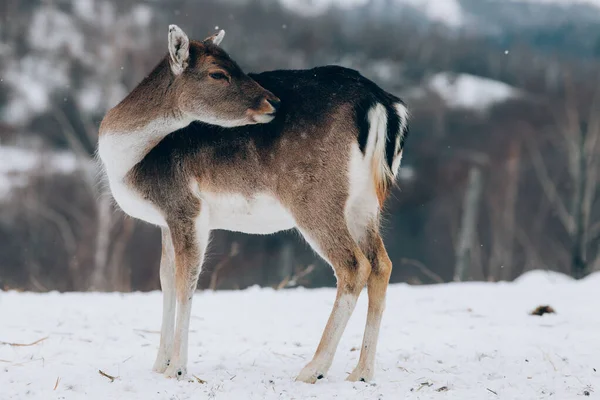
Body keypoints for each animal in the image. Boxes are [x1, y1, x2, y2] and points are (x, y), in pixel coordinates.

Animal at [97, 25, 408, 384]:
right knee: (382, 264)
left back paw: (313, 369)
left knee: (354, 265)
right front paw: (159, 365)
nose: (274, 101)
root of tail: (382, 103)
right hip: (364, 203)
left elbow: (186, 282)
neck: (129, 162)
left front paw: (177, 368)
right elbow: (167, 280)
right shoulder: (166, 219)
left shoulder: (186, 207)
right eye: (218, 72)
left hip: (313, 196)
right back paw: (362, 371)